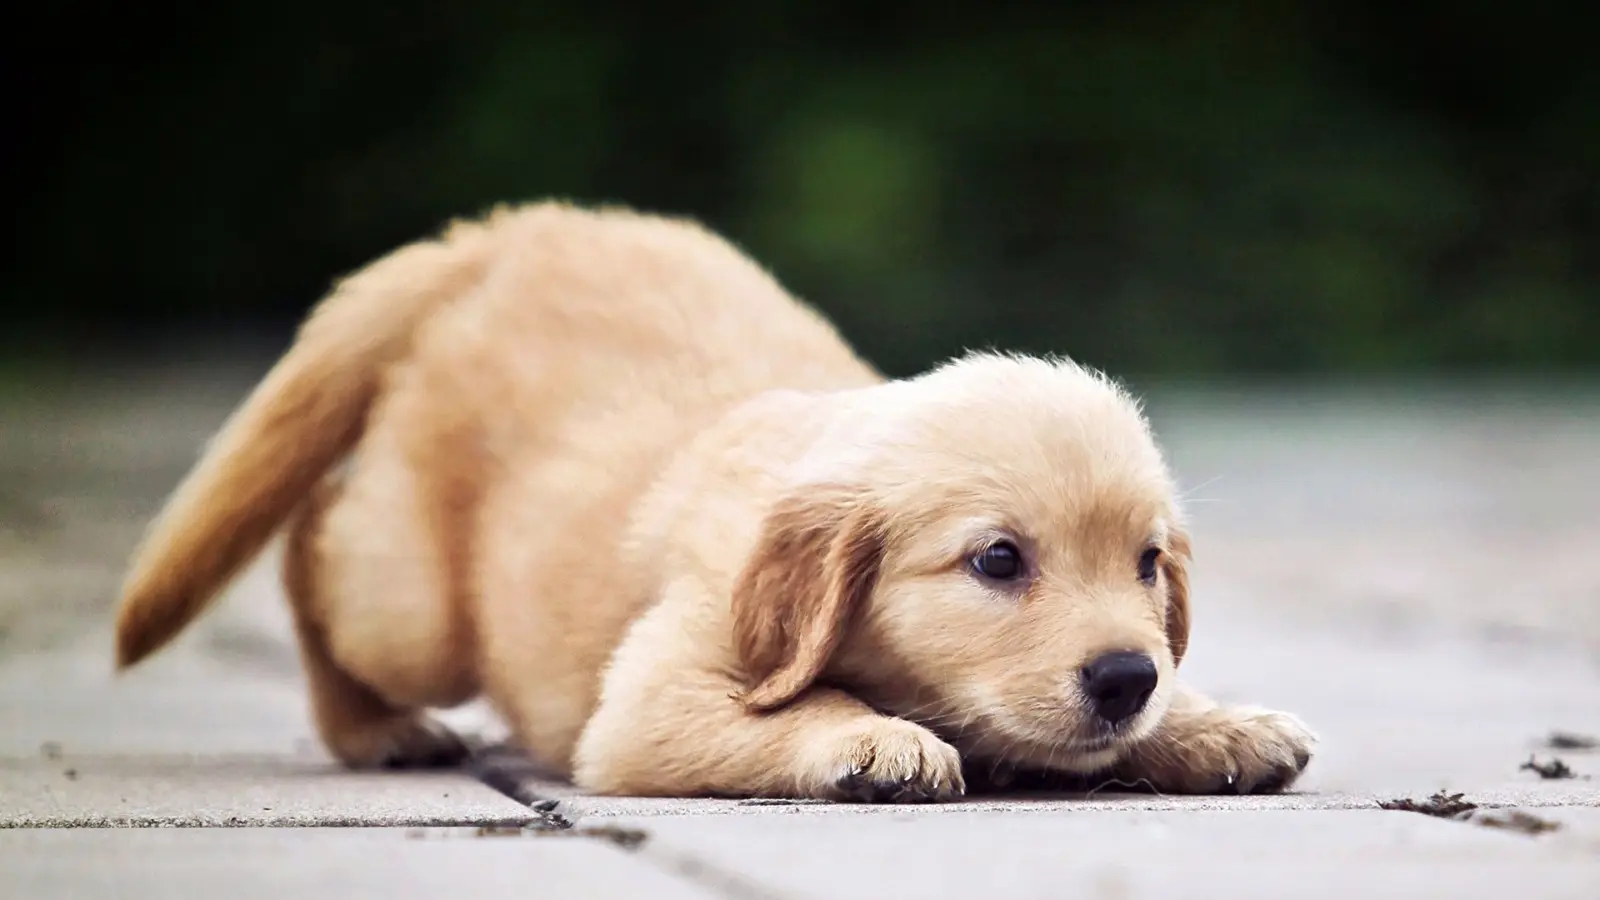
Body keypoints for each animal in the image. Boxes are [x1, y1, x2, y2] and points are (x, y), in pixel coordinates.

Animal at [109, 199, 1312, 794]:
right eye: (998, 561)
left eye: (1149, 564)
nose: (1122, 677)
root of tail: (502, 233)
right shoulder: (653, 698)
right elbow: (806, 710)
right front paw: (873, 742)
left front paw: (1213, 721)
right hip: (414, 612)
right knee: (312, 548)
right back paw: (376, 730)